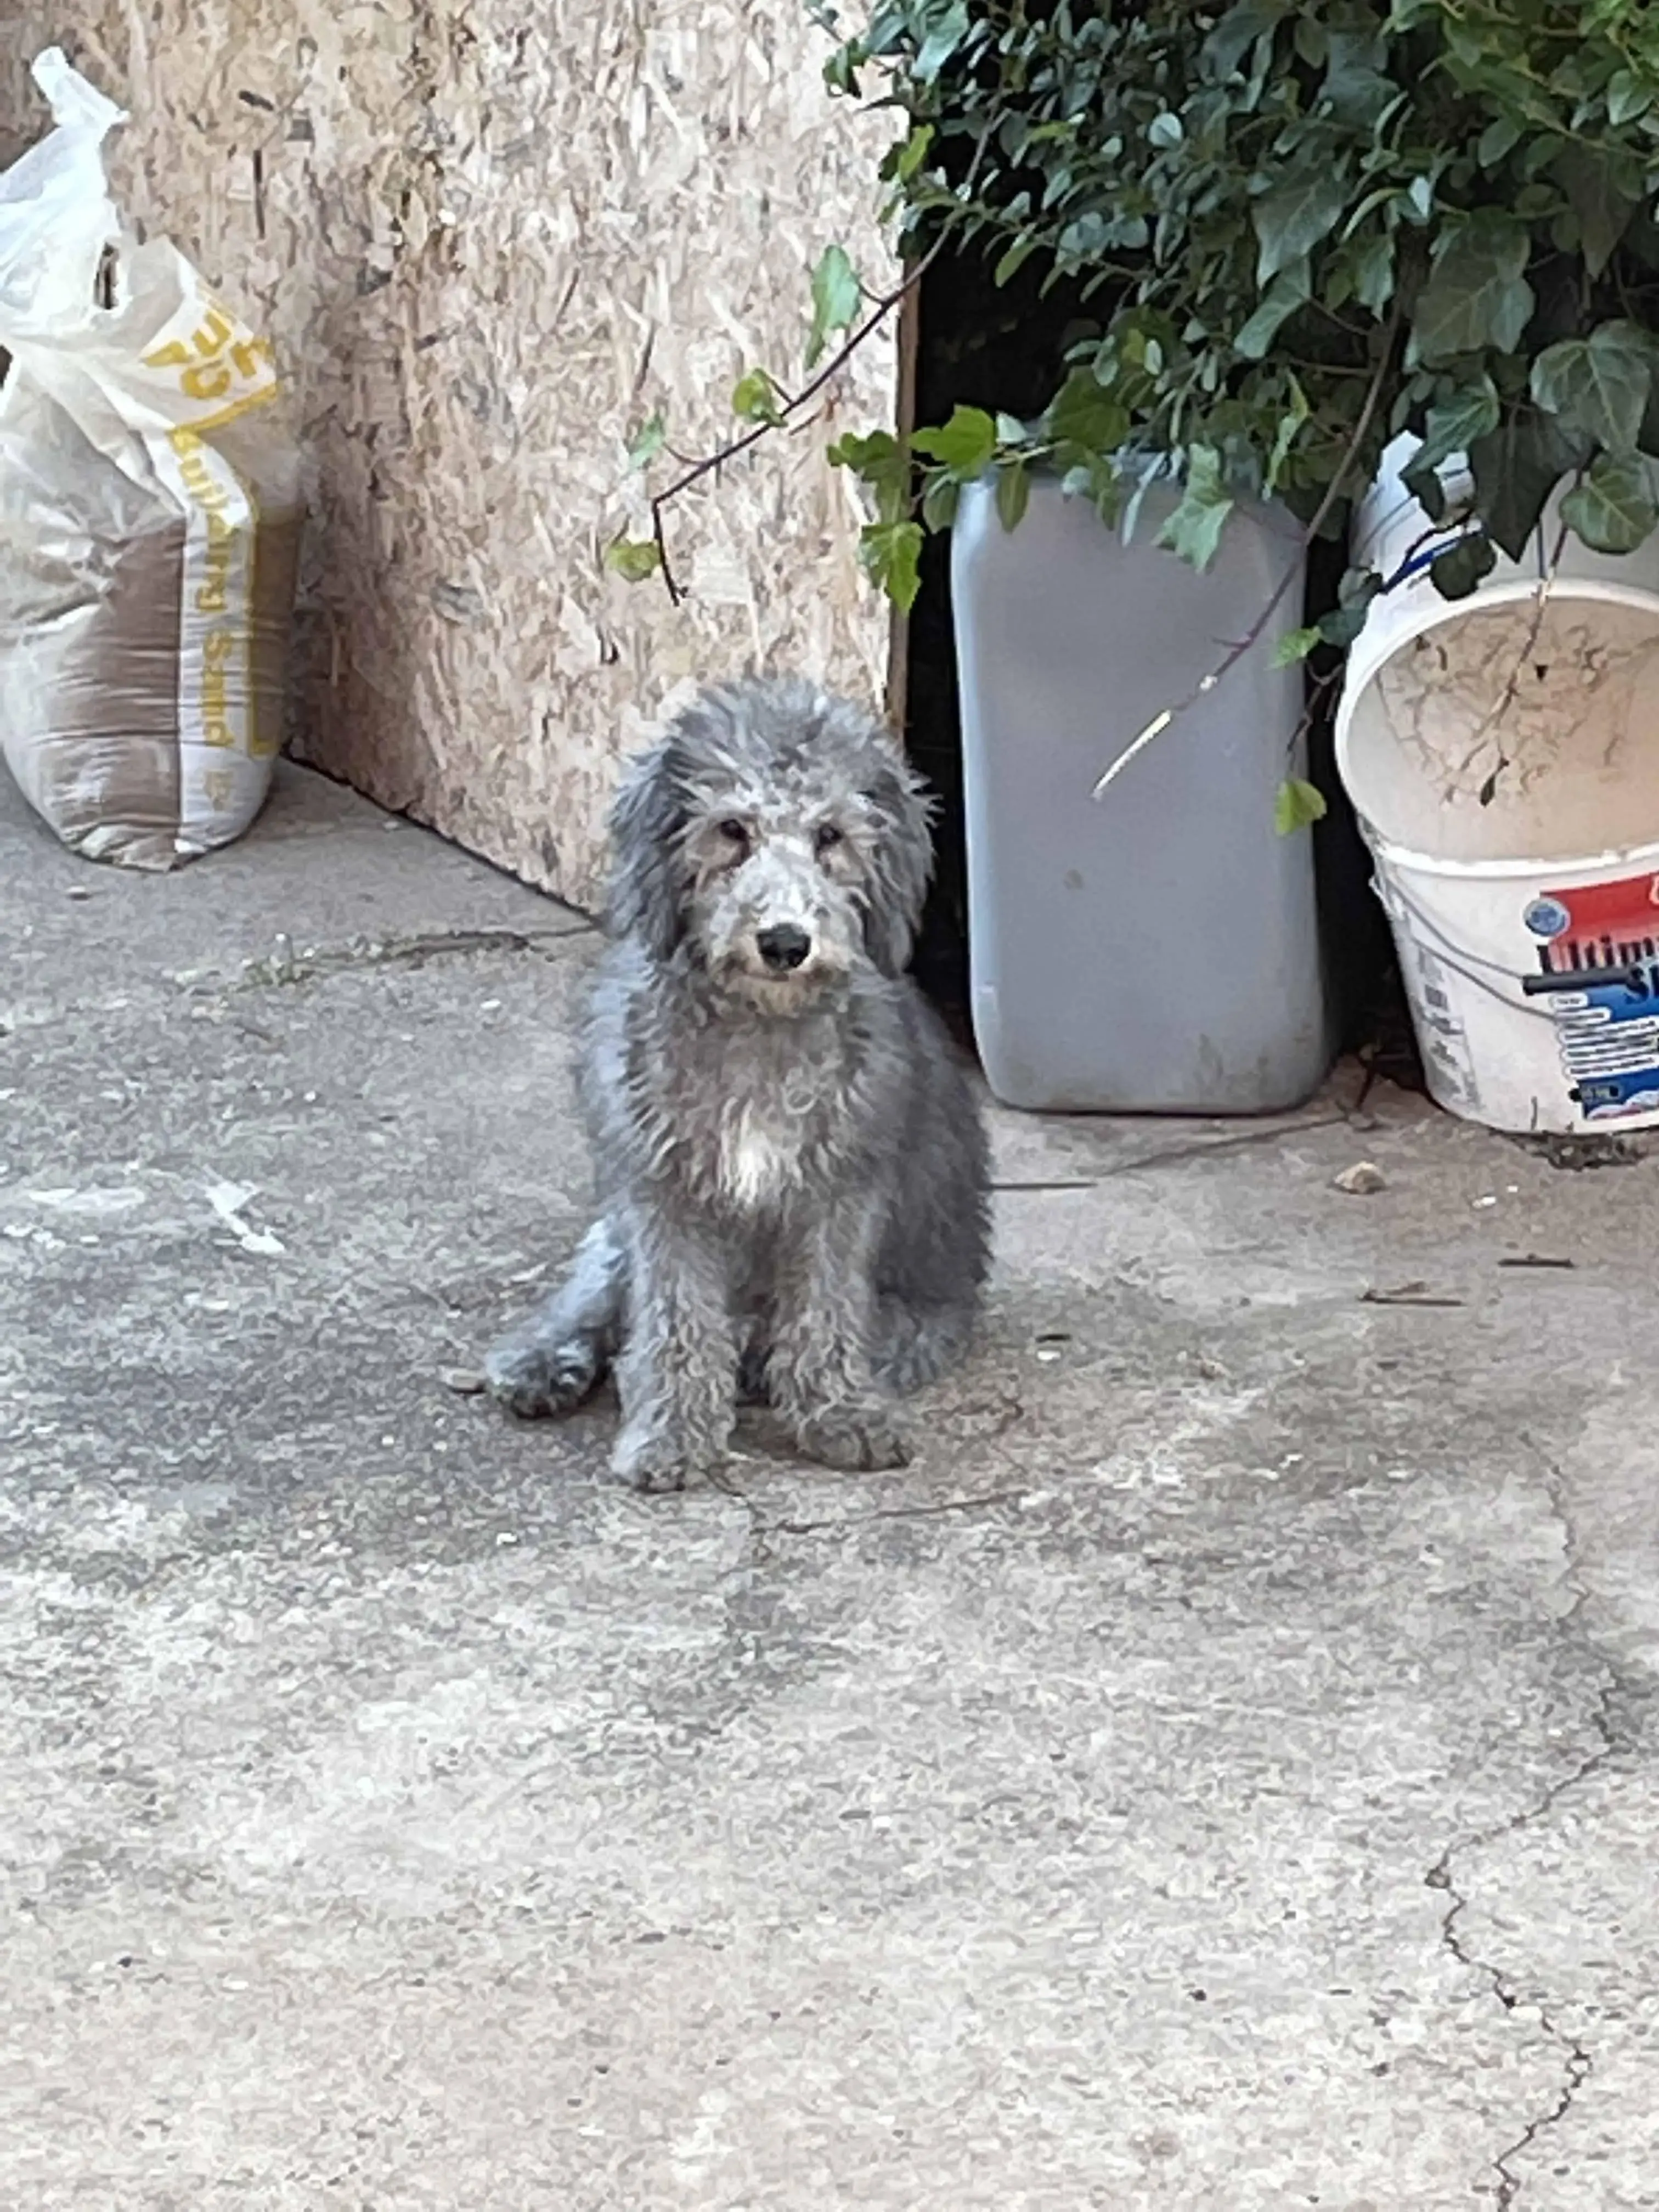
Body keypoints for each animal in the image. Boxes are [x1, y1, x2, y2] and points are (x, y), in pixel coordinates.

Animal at [487, 668, 995, 1486]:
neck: (760, 1031)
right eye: (732, 829)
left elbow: (824, 1314)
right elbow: (676, 1323)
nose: (785, 942)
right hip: (616, 1229)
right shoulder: (663, 1195)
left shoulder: (838, 1192)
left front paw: (838, 1415)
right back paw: (541, 1362)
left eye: (830, 836)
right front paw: (669, 1434)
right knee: (595, 1293)